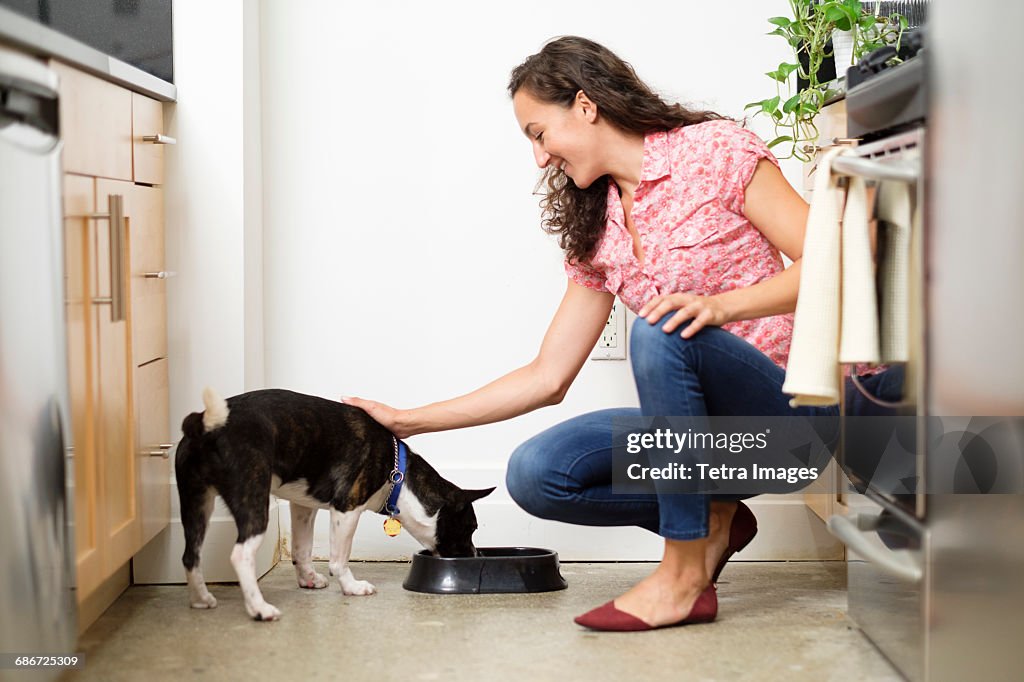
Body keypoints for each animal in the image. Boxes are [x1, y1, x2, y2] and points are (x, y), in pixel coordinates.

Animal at [176, 385, 495, 618]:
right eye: (470, 528)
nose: (476, 556)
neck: (398, 474)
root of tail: (207, 425)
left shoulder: (303, 506)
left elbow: (302, 548)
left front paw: (308, 579)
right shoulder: (347, 508)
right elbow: (339, 559)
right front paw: (352, 587)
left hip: (195, 502)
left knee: (191, 554)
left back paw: (201, 598)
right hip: (251, 497)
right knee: (240, 555)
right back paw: (259, 608)